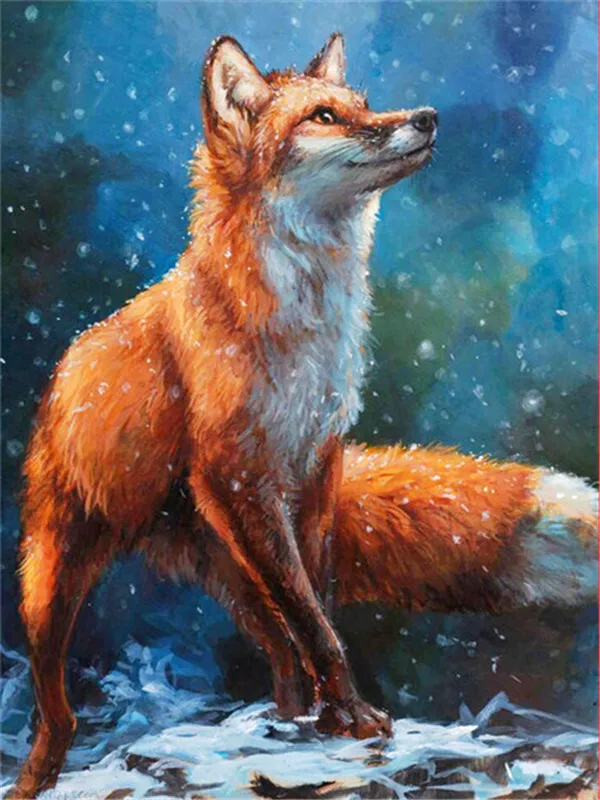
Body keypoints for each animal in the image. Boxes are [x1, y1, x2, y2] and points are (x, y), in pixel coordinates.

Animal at [9, 33, 597, 799]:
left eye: (364, 104)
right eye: (323, 116)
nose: (428, 117)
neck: (302, 332)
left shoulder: (315, 468)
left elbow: (317, 609)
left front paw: (331, 719)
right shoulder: (245, 479)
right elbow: (316, 625)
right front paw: (350, 717)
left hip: (233, 567)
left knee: (279, 652)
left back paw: (287, 715)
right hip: (57, 576)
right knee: (60, 710)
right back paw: (37, 775)